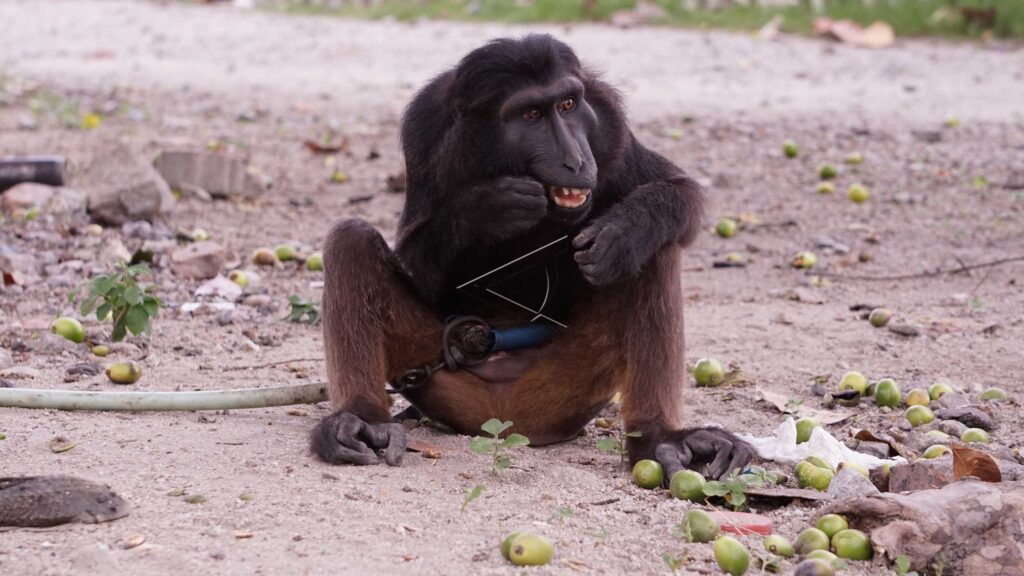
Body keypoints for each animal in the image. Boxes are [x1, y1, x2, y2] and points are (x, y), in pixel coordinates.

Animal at [310, 34, 754, 480]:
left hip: (573, 381)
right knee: (351, 240)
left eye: (568, 105)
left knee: (654, 250)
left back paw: (659, 438)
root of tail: (506, 424)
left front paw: (625, 230)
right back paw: (362, 419)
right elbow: (423, 271)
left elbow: (677, 188)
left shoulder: (608, 121)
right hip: (437, 371)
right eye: (531, 114)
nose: (575, 160)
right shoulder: (425, 126)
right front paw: (485, 208)